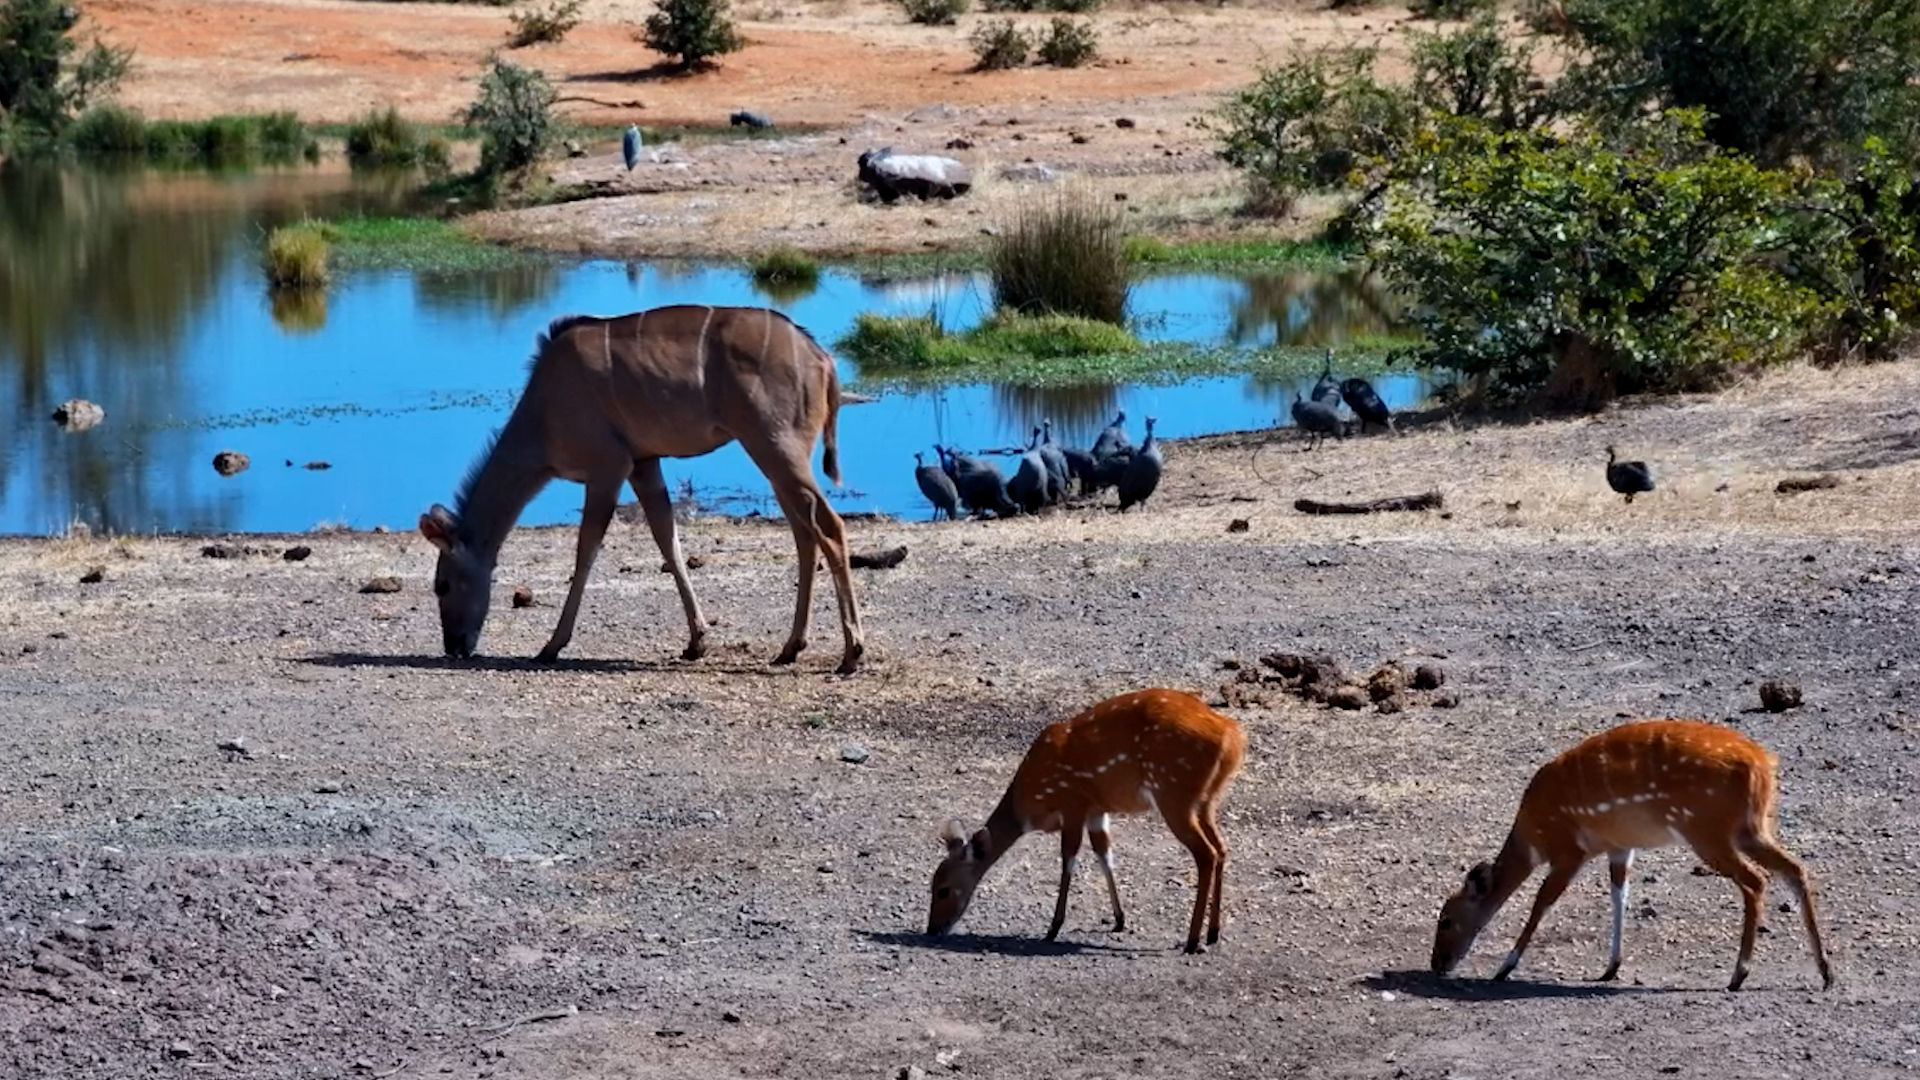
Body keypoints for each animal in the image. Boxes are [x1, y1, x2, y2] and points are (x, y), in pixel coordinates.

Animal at [418, 307, 864, 674]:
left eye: (442, 585)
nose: (455, 646)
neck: (541, 415)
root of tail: (823, 360)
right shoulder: (645, 464)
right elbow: (668, 539)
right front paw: (696, 642)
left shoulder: (607, 468)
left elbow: (586, 551)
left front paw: (551, 646)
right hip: (776, 457)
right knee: (805, 534)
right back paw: (790, 648)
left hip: (775, 447)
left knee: (830, 527)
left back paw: (851, 653)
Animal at [927, 688, 1246, 954]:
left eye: (943, 890)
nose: (932, 930)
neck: (1029, 800)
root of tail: (1232, 736)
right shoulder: (1096, 810)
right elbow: (1104, 855)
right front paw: (1119, 919)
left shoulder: (1073, 804)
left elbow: (1068, 859)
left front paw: (1053, 927)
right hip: (1205, 801)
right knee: (1221, 848)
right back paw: (1213, 933)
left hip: (1173, 794)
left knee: (1206, 854)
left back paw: (1192, 941)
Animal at [1431, 719, 1834, 991]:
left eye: (1446, 920)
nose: (1437, 964)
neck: (1533, 835)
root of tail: (1762, 763)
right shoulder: (1620, 847)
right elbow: (1619, 896)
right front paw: (1610, 968)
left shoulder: (1569, 850)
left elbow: (1541, 903)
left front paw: (1504, 968)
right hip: (1751, 828)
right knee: (1795, 870)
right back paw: (1826, 972)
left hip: (1707, 832)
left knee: (1755, 881)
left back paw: (1739, 974)